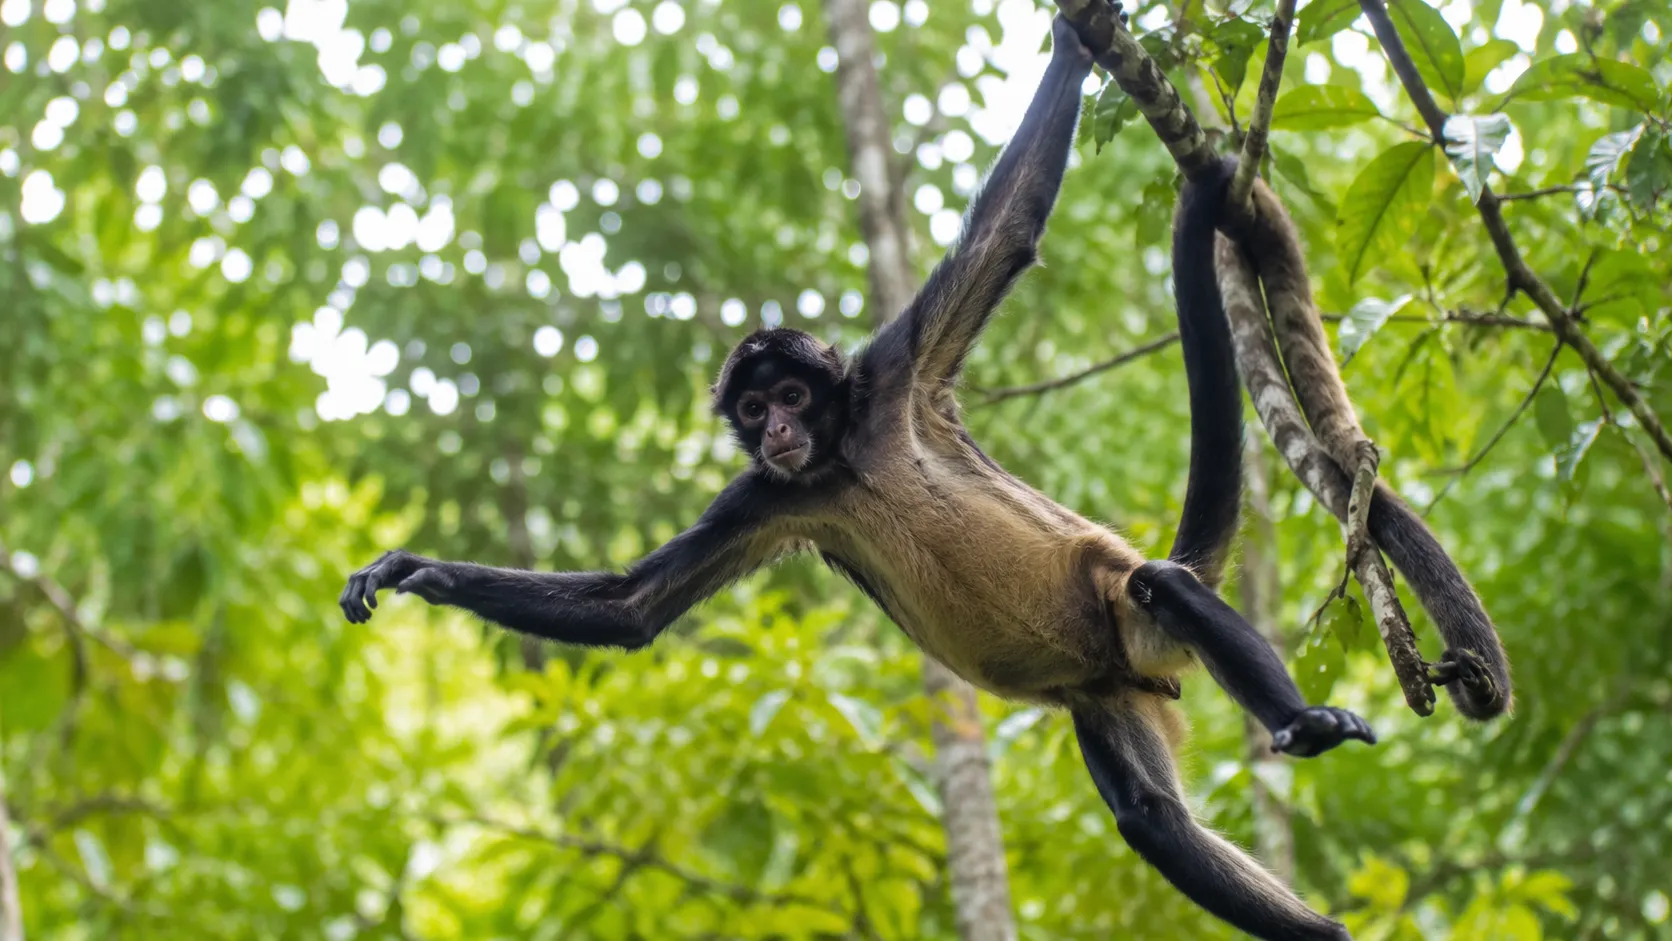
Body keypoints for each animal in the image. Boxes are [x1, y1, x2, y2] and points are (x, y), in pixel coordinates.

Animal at [339, 13, 1365, 940]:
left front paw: (1079, 40)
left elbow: (1008, 229)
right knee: (1149, 817)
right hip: (1109, 689)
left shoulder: (888, 376)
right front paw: (415, 571)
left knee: (1161, 585)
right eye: (755, 409)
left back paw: (1304, 719)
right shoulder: (770, 491)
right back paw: (1326, 931)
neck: (842, 461)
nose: (780, 428)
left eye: (795, 393)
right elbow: (632, 610)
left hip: (1121, 606)